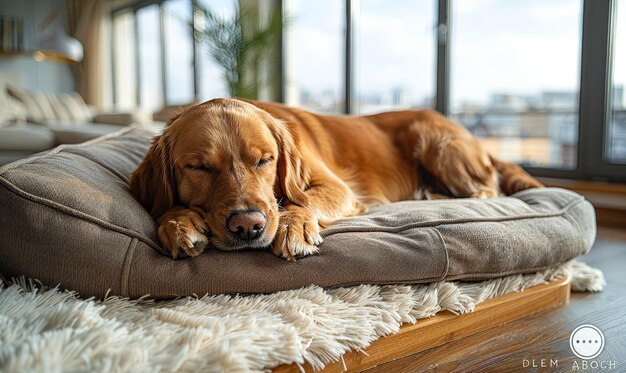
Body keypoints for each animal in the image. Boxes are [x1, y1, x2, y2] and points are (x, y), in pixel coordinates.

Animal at [128, 98, 540, 258]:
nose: (248, 226)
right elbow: (165, 209)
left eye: (264, 160)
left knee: (487, 189)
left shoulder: (337, 187)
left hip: (435, 142)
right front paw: (178, 223)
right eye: (199, 167)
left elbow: (301, 200)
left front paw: (293, 225)